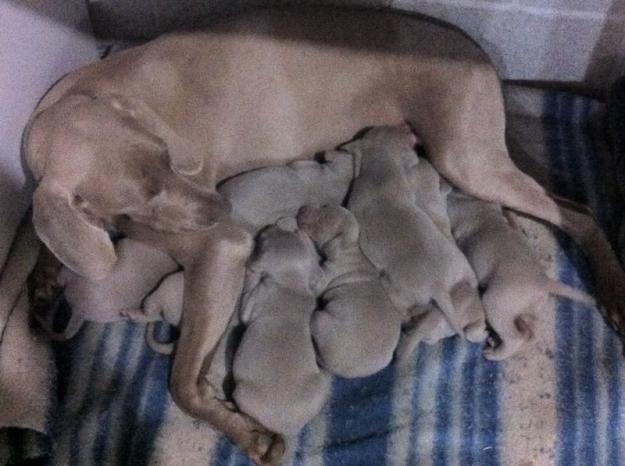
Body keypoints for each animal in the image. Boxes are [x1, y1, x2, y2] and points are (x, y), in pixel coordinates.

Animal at [232, 218, 332, 436]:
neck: (292, 283)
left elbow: (245, 307)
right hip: (321, 385)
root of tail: (287, 429)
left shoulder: (256, 297)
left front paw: (250, 272)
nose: (273, 223)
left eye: (263, 239)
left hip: (241, 393)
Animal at [296, 205, 402, 378]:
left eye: (320, 222)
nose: (303, 208)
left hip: (318, 319)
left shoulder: (327, 274)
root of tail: (338, 371)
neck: (350, 247)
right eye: (324, 206)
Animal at [346, 125, 488, 344]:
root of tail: (438, 285)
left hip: (398, 288)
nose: (407, 126)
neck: (382, 167)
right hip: (460, 267)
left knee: (403, 306)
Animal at [446, 190, 596, 360]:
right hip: (525, 311)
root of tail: (544, 281)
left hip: (495, 303)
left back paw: (495, 353)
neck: (482, 209)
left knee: (516, 337)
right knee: (530, 334)